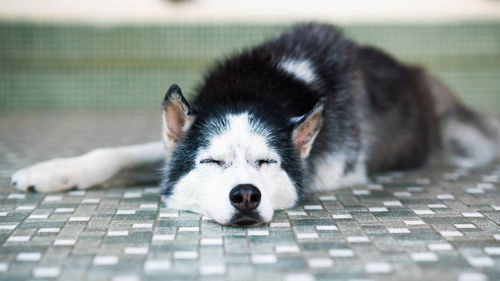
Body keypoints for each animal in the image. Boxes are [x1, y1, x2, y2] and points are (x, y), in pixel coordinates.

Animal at [9, 24, 498, 225]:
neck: (261, 85)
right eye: (211, 162)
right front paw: (49, 172)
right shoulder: (176, 144)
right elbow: (115, 153)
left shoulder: (338, 169)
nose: (245, 195)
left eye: (267, 163)